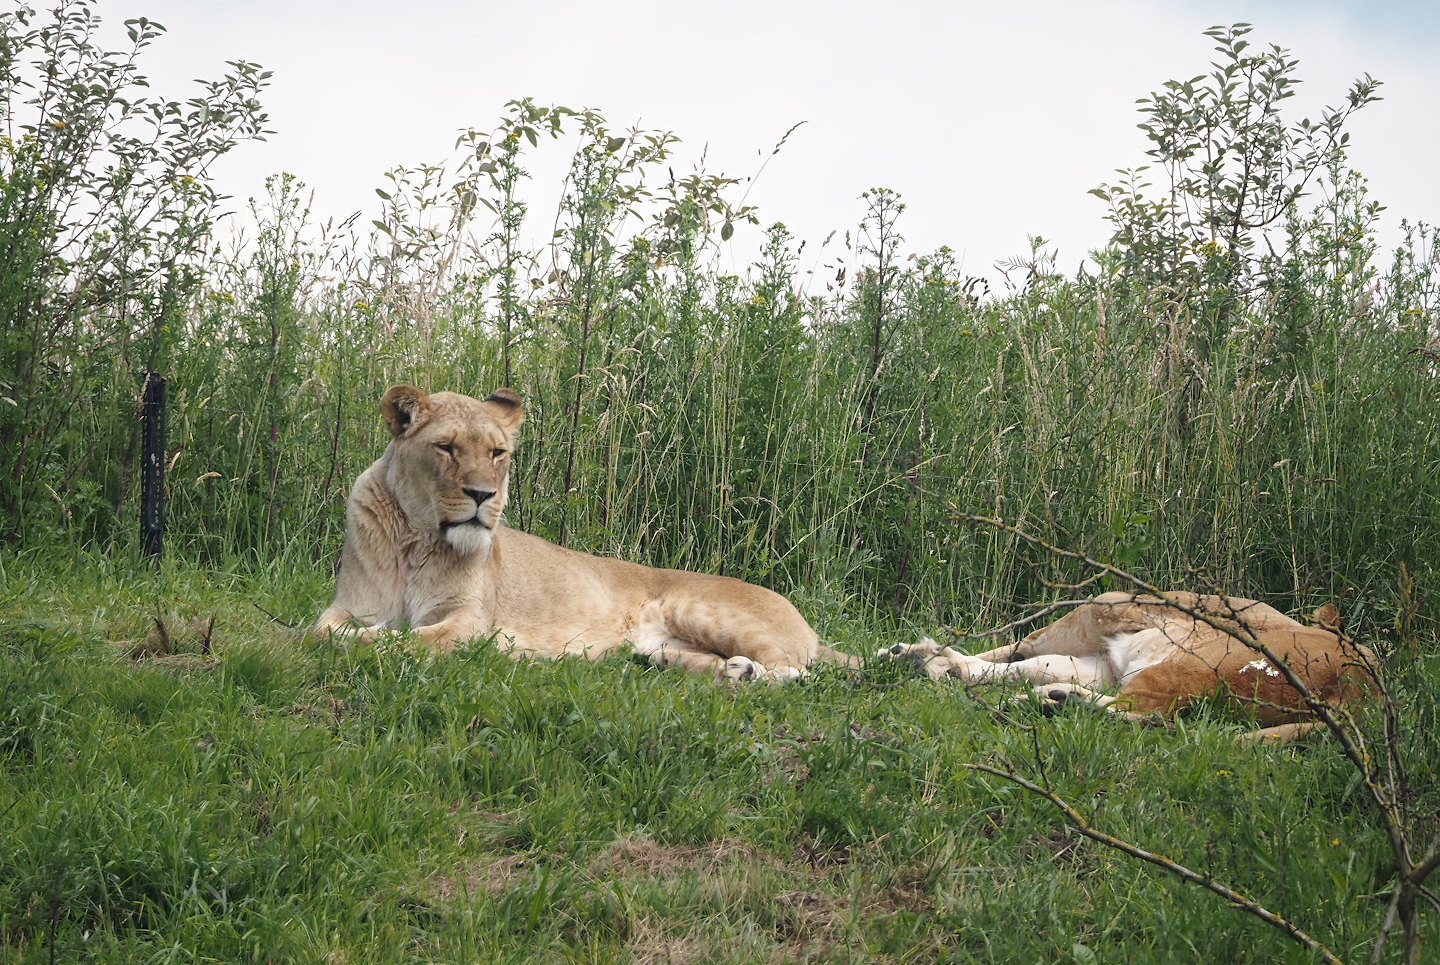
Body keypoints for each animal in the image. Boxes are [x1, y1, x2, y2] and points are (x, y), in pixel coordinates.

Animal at [314, 385, 855, 681]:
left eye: (497, 453)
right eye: (446, 448)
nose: (483, 495)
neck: (417, 541)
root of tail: (808, 625)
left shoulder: (470, 621)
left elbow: (400, 641)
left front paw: (383, 636)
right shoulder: (348, 605)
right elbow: (324, 633)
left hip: (695, 607)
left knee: (796, 668)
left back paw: (756, 672)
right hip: (659, 648)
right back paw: (733, 673)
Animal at [884, 592, 1374, 741]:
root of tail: (1363, 684)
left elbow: (1013, 653)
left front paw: (919, 656)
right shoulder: (1102, 661)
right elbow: (1021, 664)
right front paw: (927, 661)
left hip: (1184, 657)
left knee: (1143, 710)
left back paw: (1045, 704)